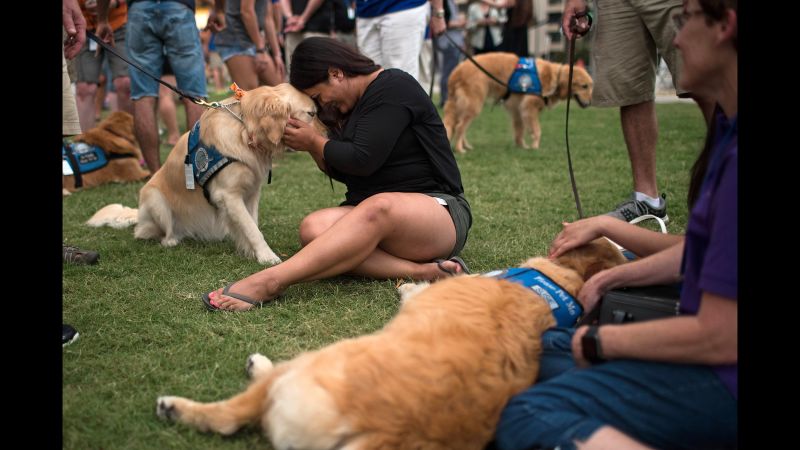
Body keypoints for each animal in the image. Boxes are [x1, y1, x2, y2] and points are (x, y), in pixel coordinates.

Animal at [86, 84, 324, 266]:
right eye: (311, 113)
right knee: (155, 233)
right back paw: (171, 240)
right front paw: (267, 257)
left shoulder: (252, 192)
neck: (244, 129)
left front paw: (250, 250)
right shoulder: (228, 194)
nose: (327, 134)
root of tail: (139, 215)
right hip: (155, 198)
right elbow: (252, 229)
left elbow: (251, 224)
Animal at [152, 237, 624, 448]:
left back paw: (180, 404)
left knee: (231, 415)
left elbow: (416, 289)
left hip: (308, 365)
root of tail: (378, 431)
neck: (558, 285)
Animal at [444, 52, 592, 153]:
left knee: (457, 125)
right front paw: (534, 147)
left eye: (590, 86)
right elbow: (537, 130)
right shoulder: (529, 107)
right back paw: (459, 149)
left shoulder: (518, 109)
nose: (590, 103)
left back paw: (465, 145)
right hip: (474, 104)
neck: (554, 77)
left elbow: (519, 130)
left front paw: (522, 146)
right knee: (460, 127)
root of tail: (456, 71)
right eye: (584, 86)